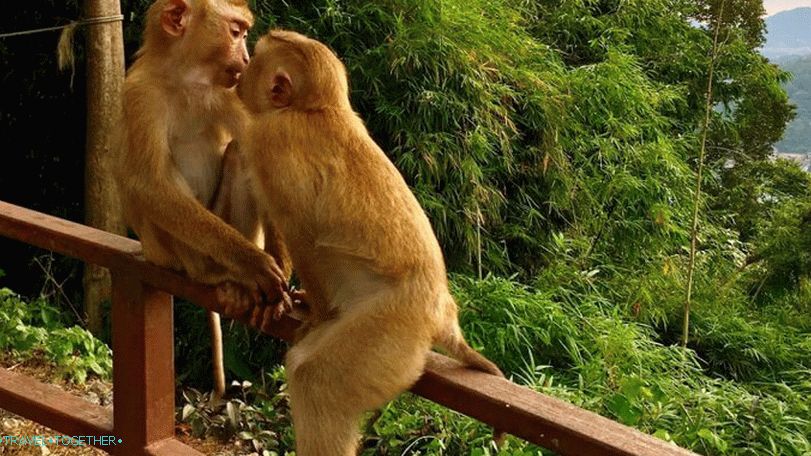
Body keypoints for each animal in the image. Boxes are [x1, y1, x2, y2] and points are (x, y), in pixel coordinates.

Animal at [113, 0, 290, 399]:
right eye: (236, 32)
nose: (246, 57)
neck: (185, 80)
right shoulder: (140, 95)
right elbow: (150, 185)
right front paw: (255, 263)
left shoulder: (231, 92)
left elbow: (261, 158)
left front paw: (282, 268)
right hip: (185, 251)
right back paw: (230, 276)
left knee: (241, 154)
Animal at [237, 30, 504, 455]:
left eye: (253, 62)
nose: (239, 74)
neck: (317, 110)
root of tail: (443, 314)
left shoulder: (270, 140)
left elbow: (301, 232)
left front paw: (307, 307)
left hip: (394, 325)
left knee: (317, 379)